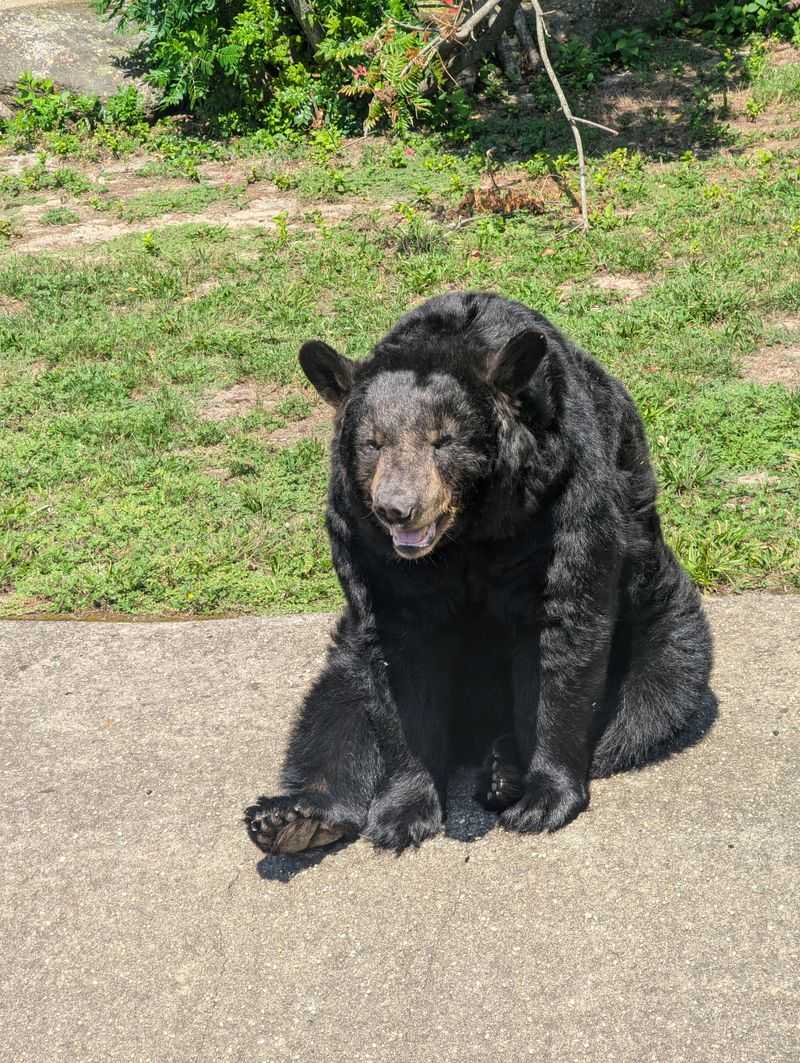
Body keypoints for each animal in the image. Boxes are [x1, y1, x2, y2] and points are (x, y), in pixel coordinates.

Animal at [244, 291, 713, 855]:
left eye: (443, 440)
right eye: (373, 443)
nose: (397, 509)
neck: (468, 532)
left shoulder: (560, 499)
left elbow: (563, 629)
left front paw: (543, 798)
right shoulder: (367, 545)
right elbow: (398, 654)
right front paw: (404, 811)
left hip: (665, 628)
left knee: (651, 699)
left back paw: (503, 771)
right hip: (344, 656)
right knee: (335, 712)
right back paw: (294, 818)